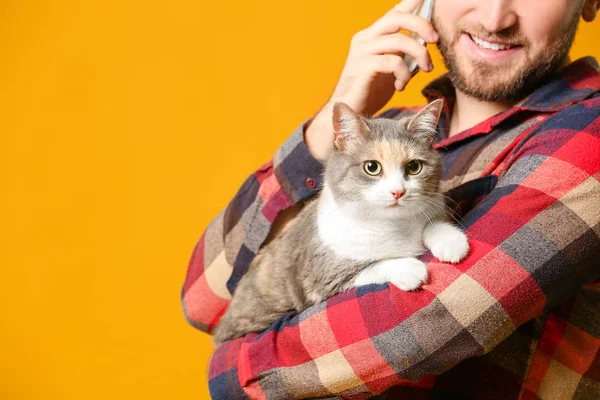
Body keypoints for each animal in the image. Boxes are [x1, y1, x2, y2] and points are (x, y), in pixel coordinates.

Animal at [213, 98, 472, 346]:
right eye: (372, 167)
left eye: (414, 166)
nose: (398, 192)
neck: (392, 224)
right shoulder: (325, 278)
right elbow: (373, 266)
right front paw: (409, 268)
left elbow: (431, 222)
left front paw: (450, 242)